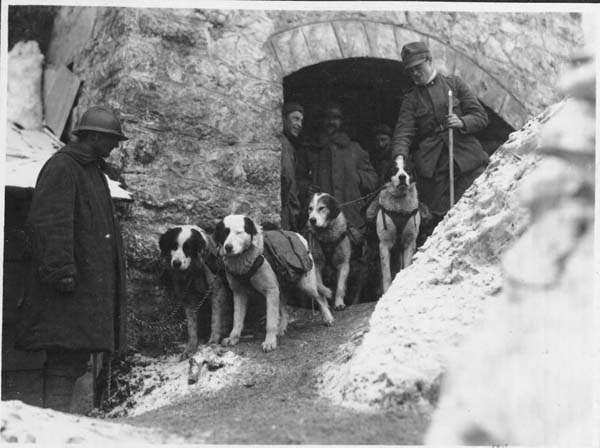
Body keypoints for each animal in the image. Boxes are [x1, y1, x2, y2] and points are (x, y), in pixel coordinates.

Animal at [159, 226, 232, 358]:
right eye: (173, 246)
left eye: (188, 248)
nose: (176, 263)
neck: (194, 271)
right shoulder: (188, 299)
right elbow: (191, 326)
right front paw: (191, 347)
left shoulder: (217, 292)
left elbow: (215, 321)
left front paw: (213, 342)